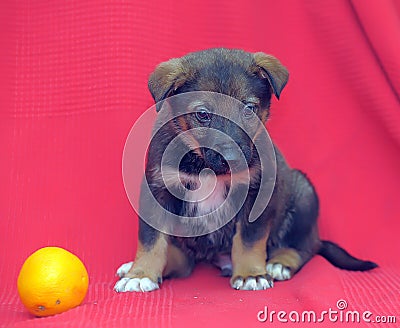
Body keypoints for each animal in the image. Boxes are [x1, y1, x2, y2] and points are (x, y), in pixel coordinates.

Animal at [114, 48, 376, 292]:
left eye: (249, 109)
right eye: (202, 114)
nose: (232, 158)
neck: (206, 168)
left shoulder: (257, 192)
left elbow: (249, 240)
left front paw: (251, 274)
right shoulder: (158, 189)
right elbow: (151, 240)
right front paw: (141, 274)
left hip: (304, 195)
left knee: (303, 248)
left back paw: (278, 264)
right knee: (182, 259)